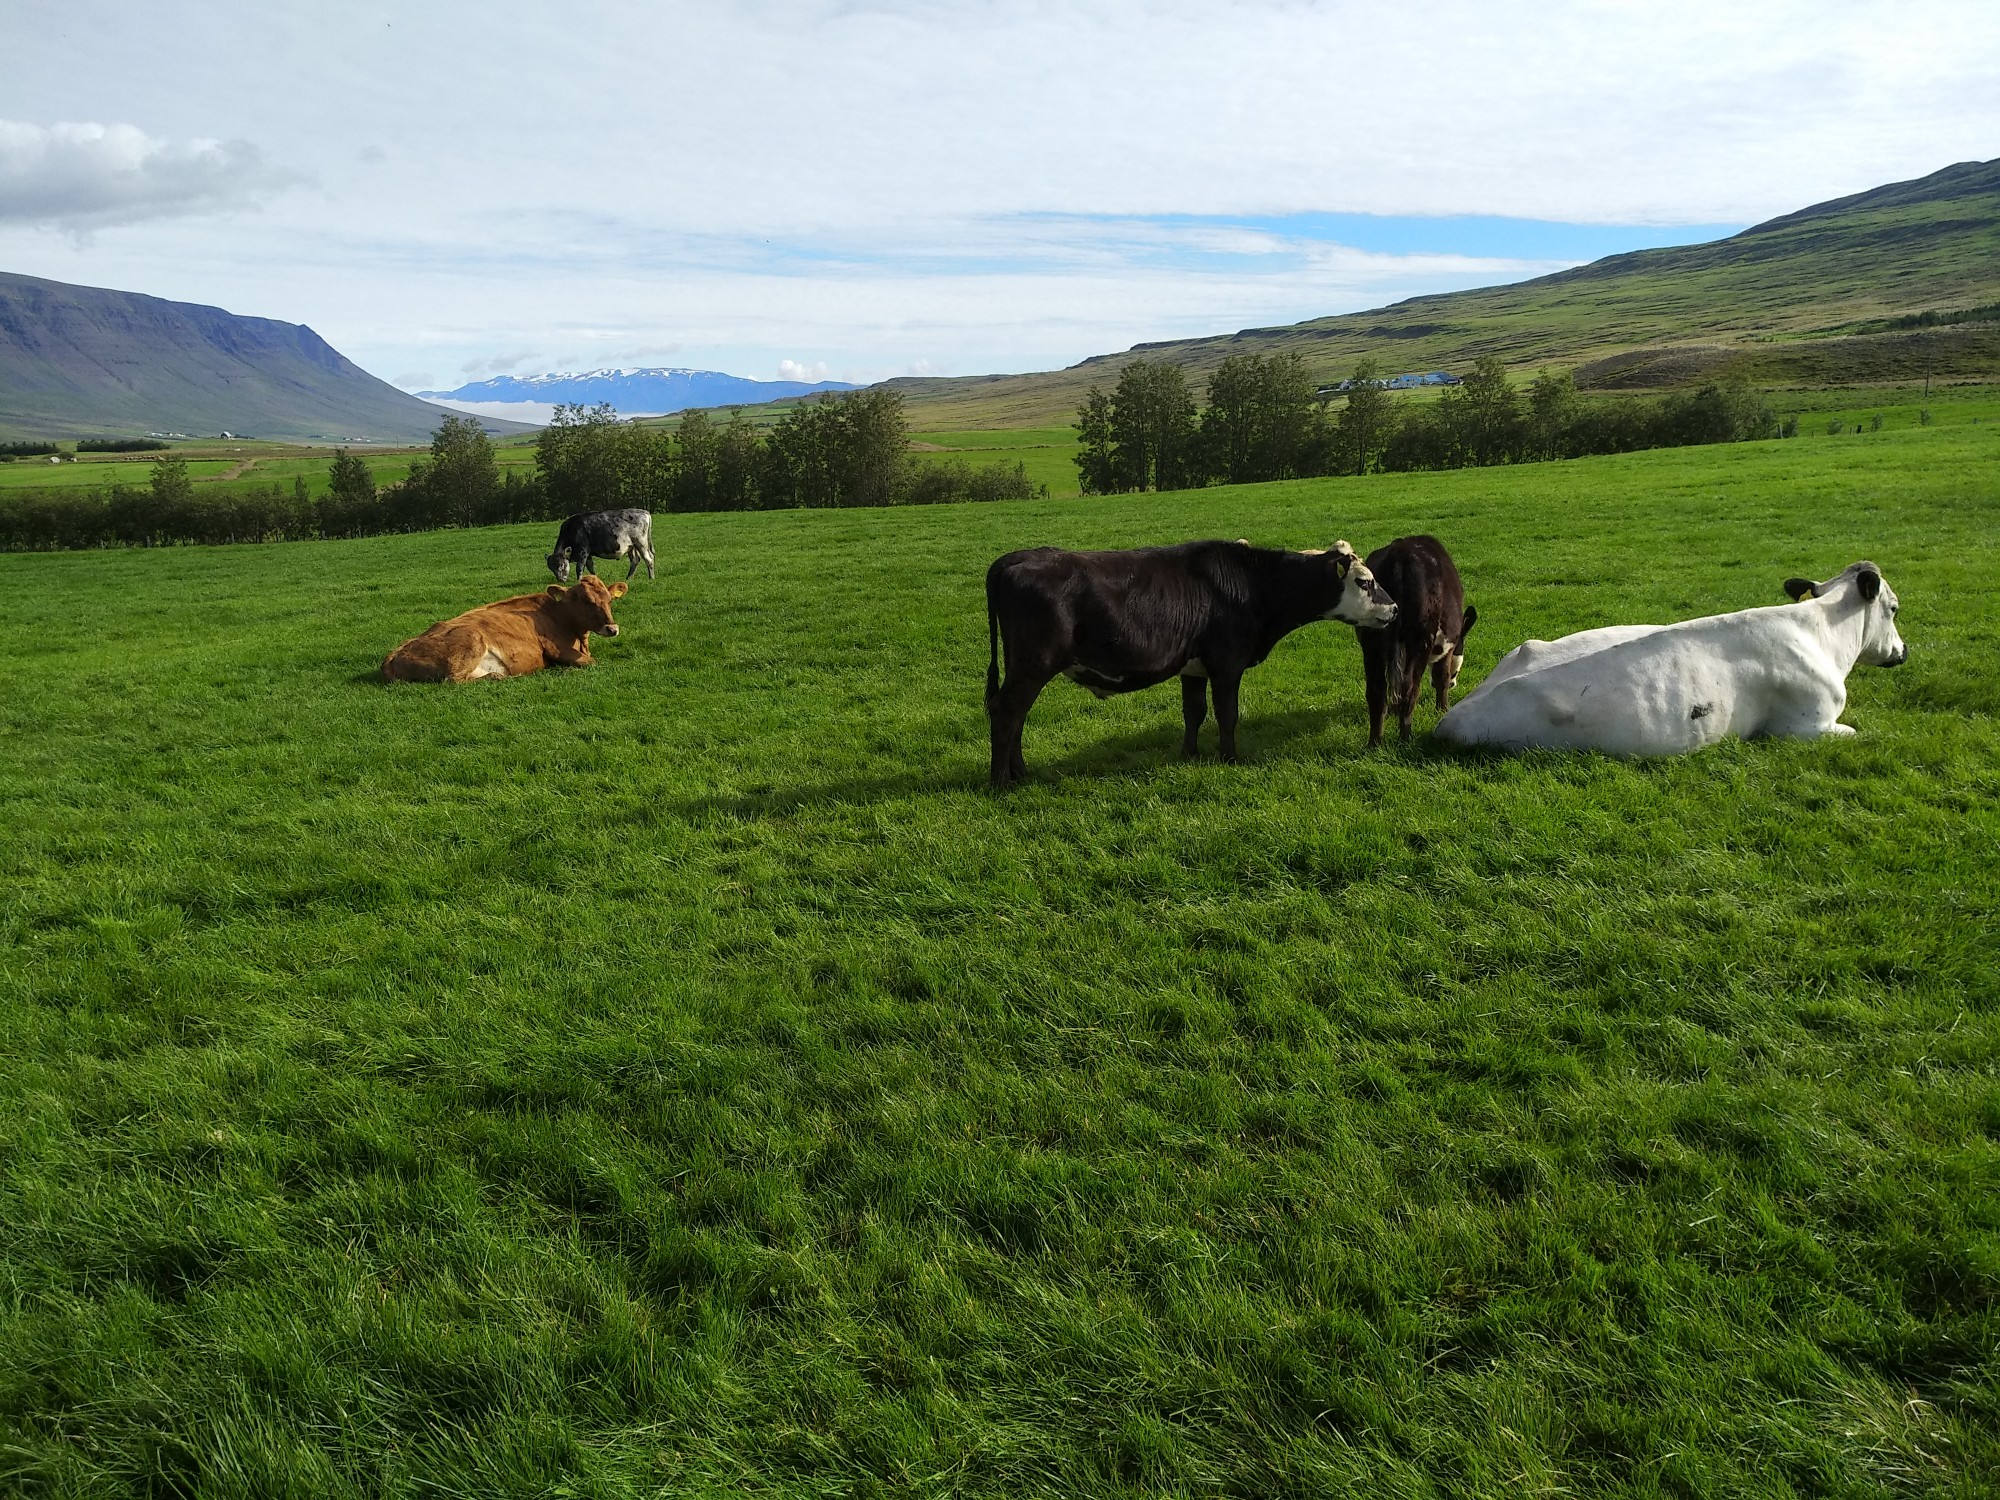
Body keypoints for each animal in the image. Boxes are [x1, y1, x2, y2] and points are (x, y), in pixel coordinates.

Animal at [376, 580, 624, 684]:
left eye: (610, 600)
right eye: (586, 601)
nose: (612, 628)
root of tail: (394, 653)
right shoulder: (556, 648)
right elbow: (590, 662)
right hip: (472, 639)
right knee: (452, 680)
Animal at [980, 548, 1392, 792]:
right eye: (1364, 581)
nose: (1395, 608)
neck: (1251, 584)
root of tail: (1013, 559)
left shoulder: (1193, 668)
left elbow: (1194, 711)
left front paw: (1189, 754)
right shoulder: (1227, 663)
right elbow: (1227, 713)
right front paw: (1229, 758)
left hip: (1022, 665)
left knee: (1016, 715)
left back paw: (1021, 774)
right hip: (1033, 664)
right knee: (1006, 711)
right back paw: (1002, 782)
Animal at [1352, 536, 1480, 752]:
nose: (1455, 683)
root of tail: (1399, 555)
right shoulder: (1447, 646)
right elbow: (1441, 676)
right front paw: (1442, 709)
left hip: (1372, 641)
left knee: (1377, 690)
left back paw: (1375, 743)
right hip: (1421, 639)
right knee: (1410, 687)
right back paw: (1405, 739)